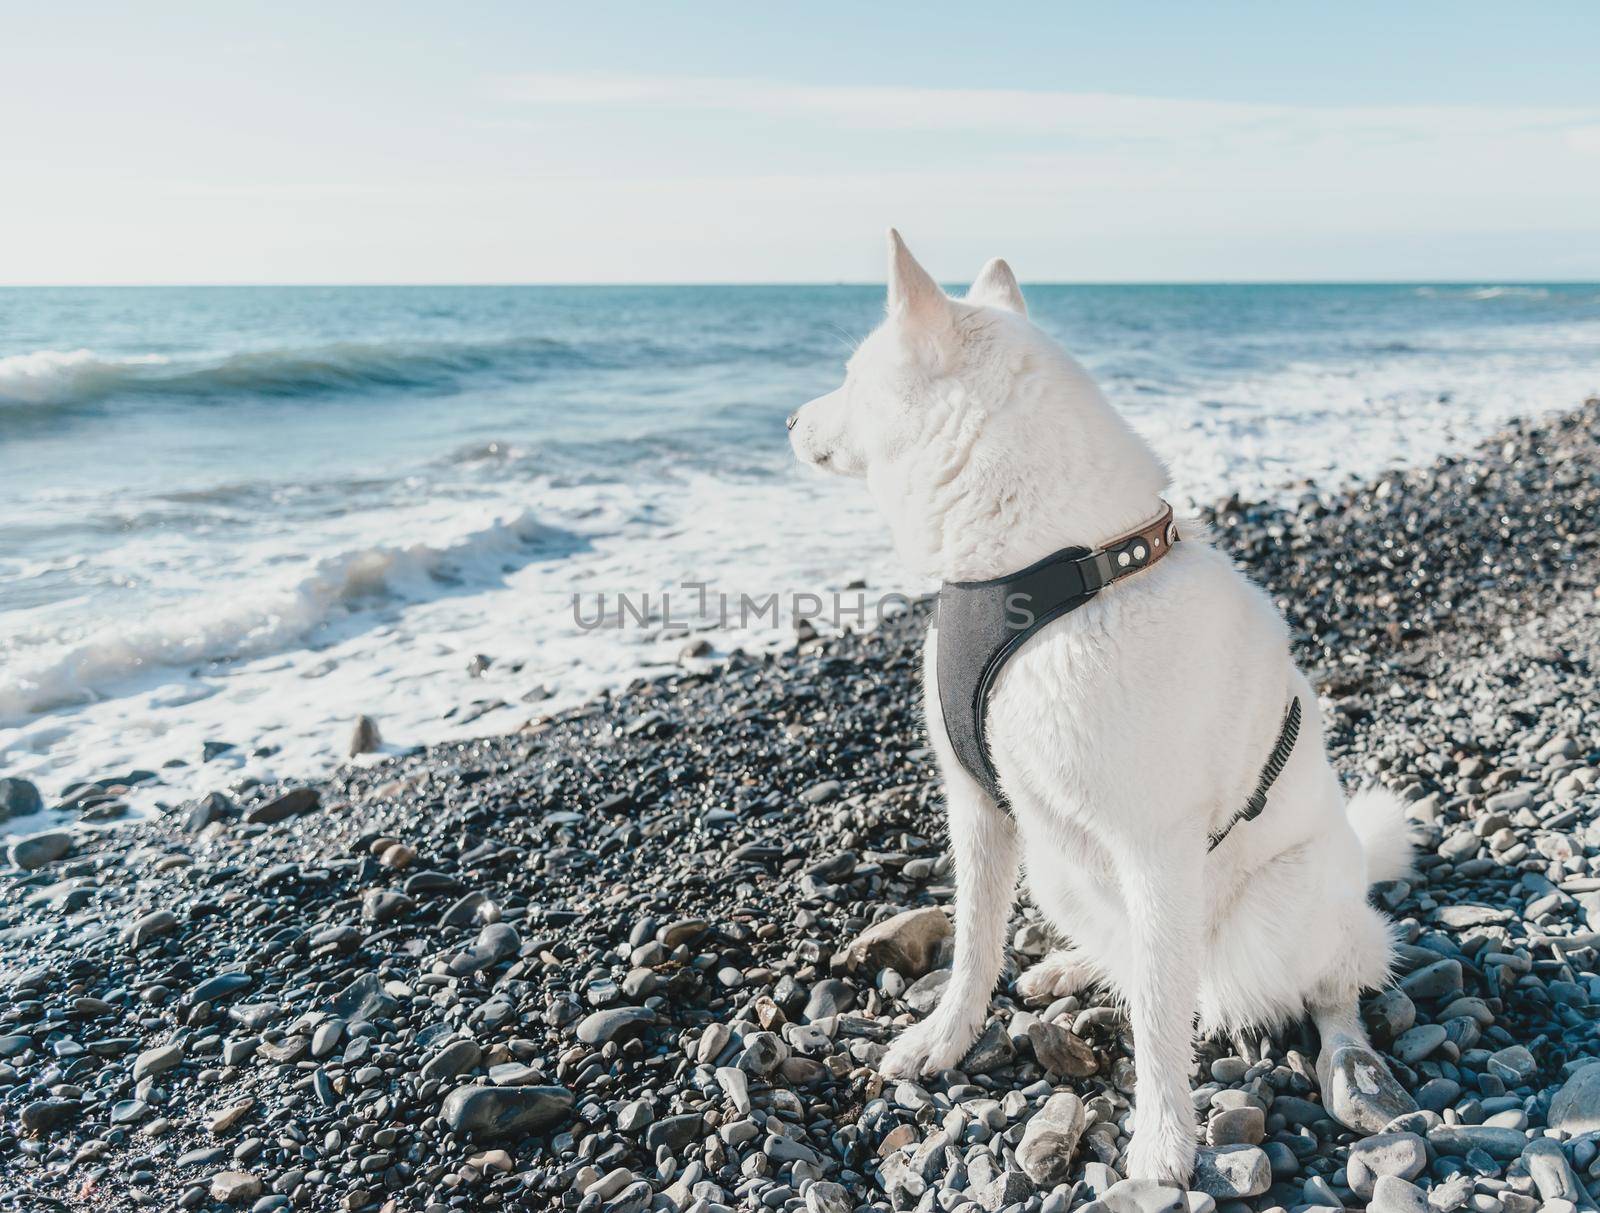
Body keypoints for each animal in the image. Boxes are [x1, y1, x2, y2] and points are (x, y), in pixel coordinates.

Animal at [787, 232, 1414, 1184]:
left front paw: (1163, 1140)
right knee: (1119, 944)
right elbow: (975, 943)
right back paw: (1070, 967)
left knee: (1331, 983)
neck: (1049, 566)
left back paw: (1351, 1064)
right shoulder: (979, 807)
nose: (789, 420)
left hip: (1286, 906)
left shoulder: (1153, 847)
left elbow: (1158, 1015)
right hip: (1057, 861)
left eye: (852, 376)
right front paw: (945, 1038)